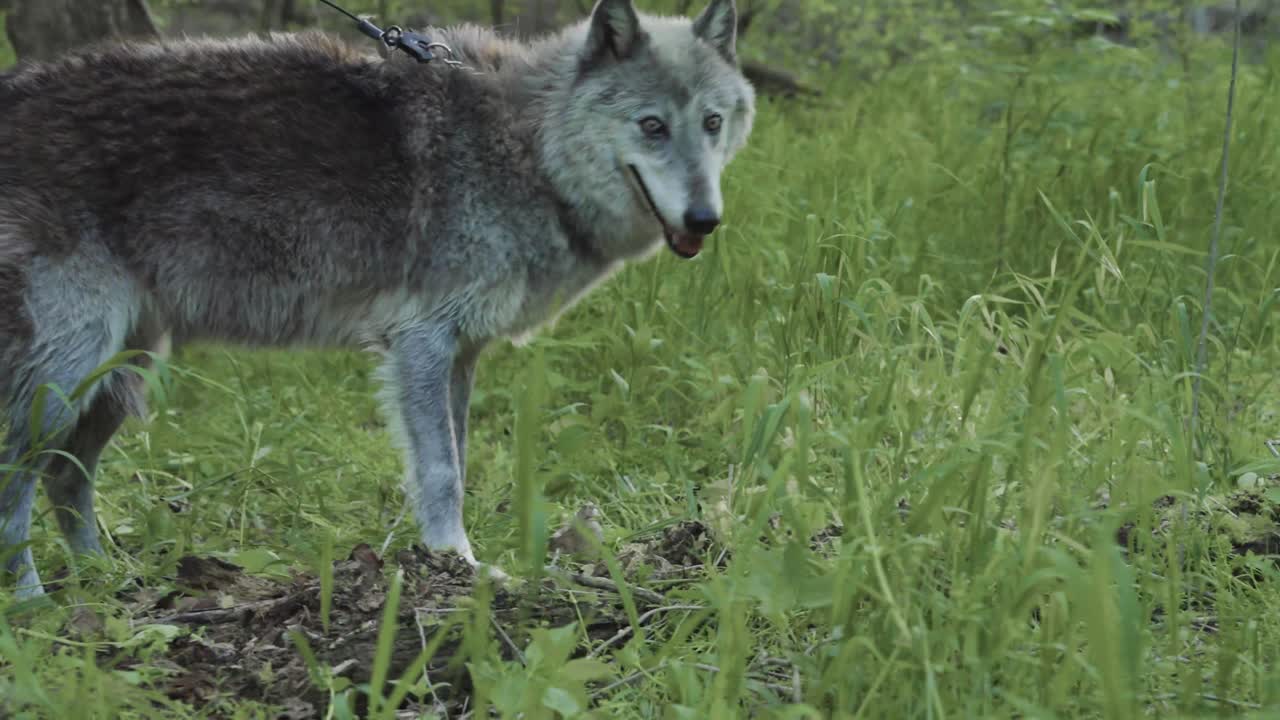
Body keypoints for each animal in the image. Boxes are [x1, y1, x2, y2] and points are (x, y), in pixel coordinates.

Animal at [0, 0, 755, 598]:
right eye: (652, 126)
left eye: (713, 122)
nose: (705, 220)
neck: (524, 147)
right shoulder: (420, 345)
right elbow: (443, 473)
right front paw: (462, 566)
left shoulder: (460, 356)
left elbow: (452, 462)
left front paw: (445, 564)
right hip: (67, 377)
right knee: (19, 480)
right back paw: (35, 607)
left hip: (119, 375)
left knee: (67, 480)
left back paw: (106, 582)